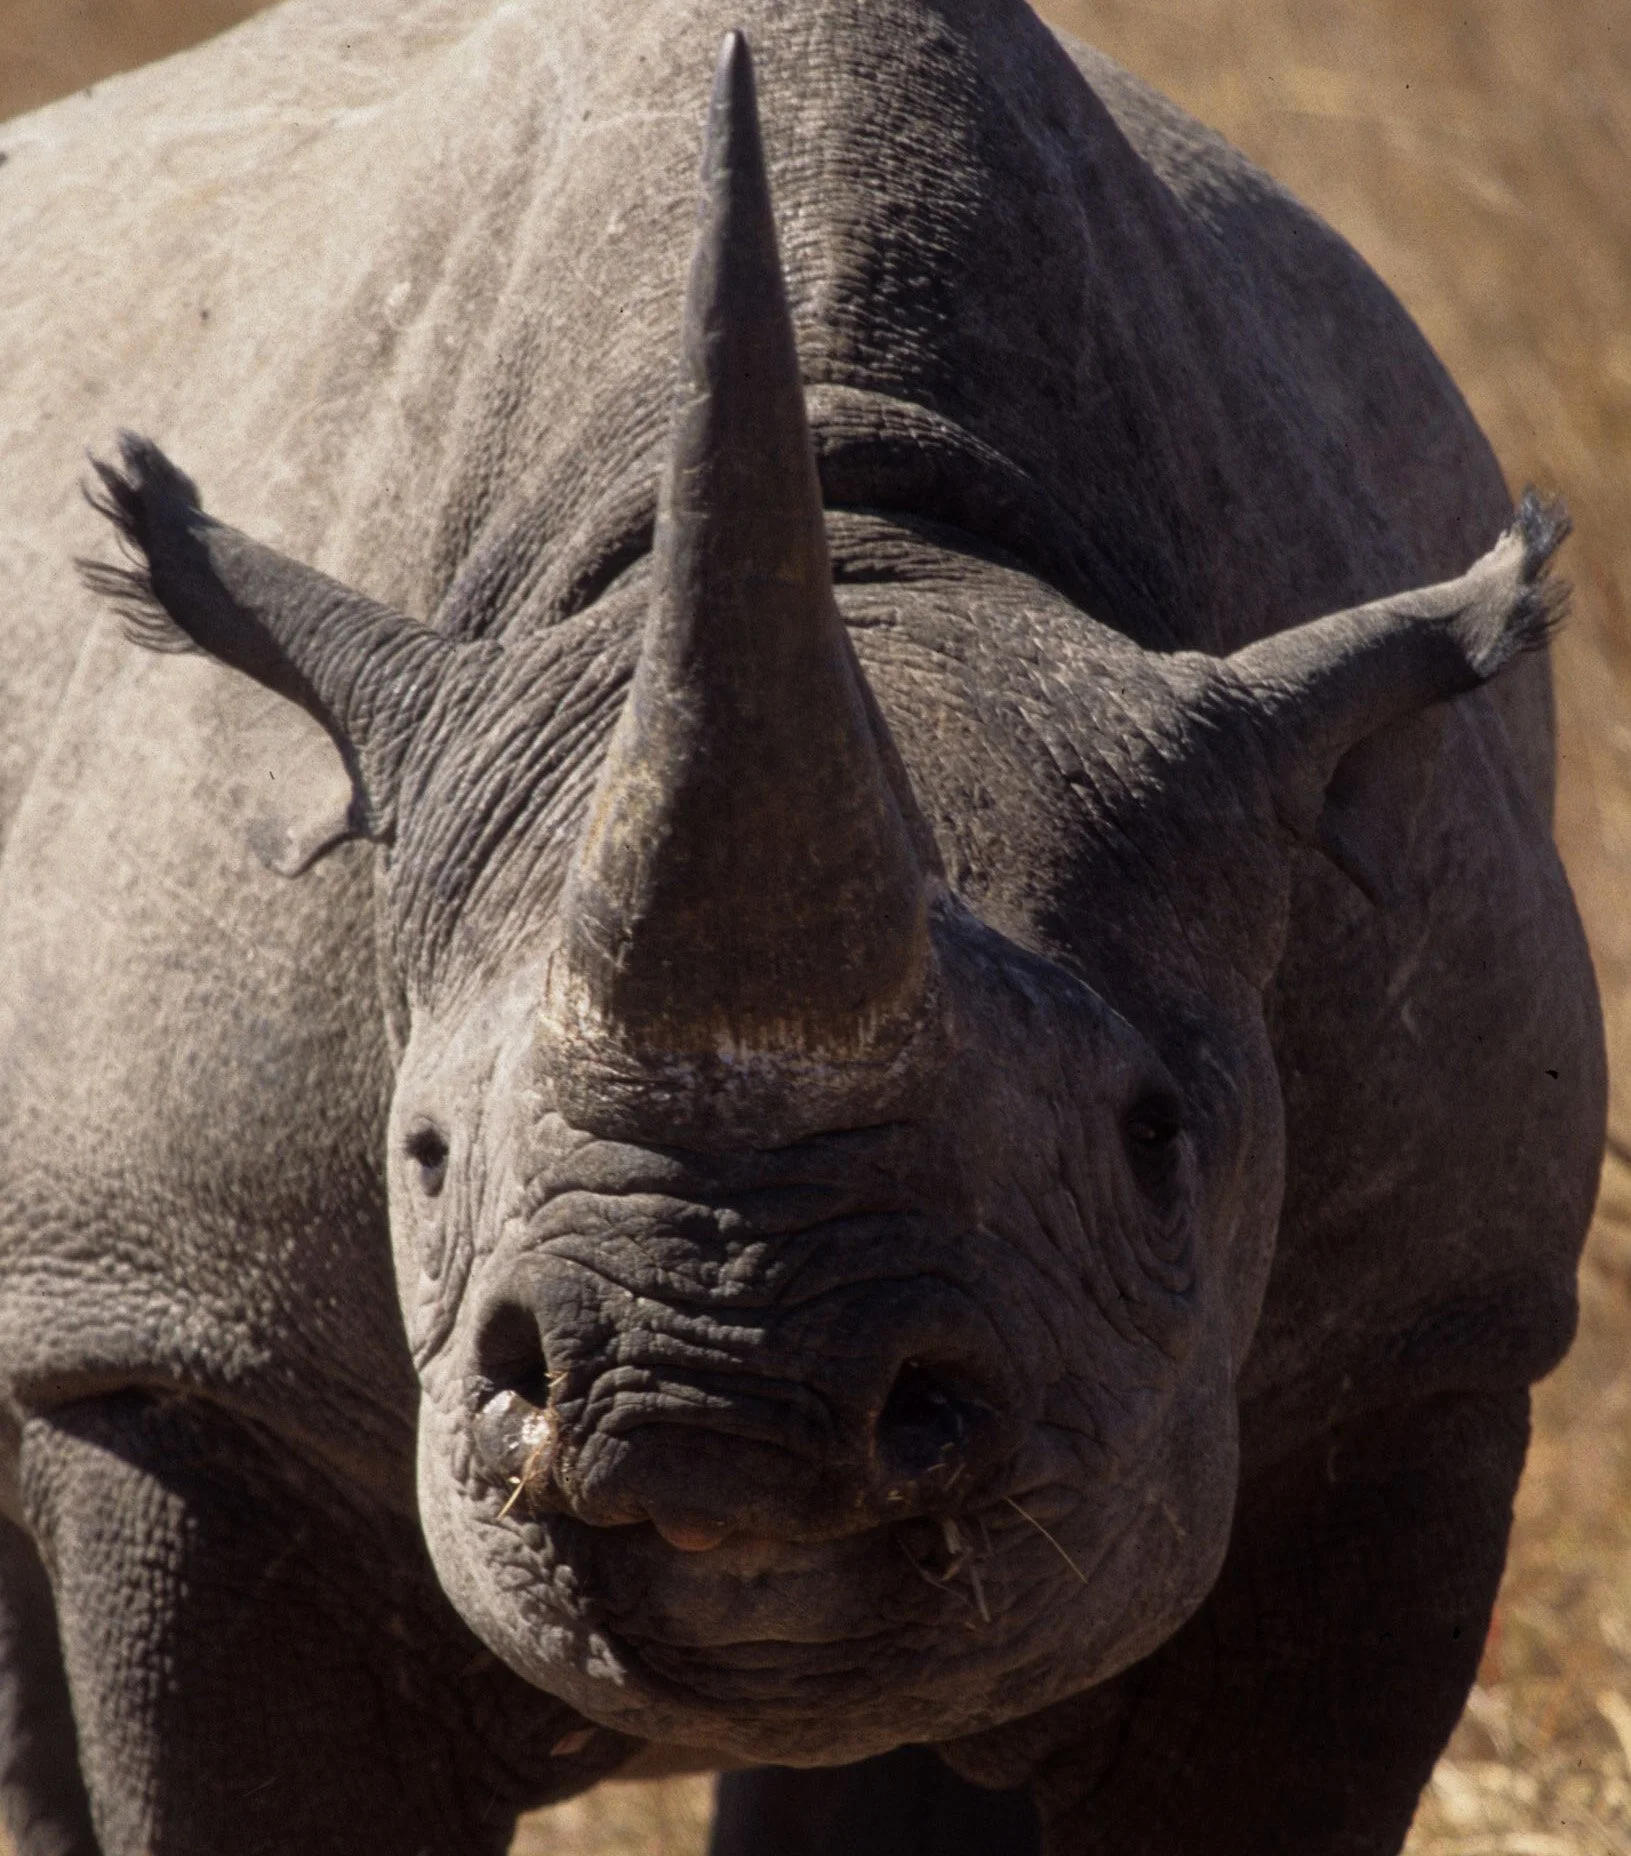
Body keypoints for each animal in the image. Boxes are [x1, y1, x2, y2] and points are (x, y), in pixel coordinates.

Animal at [0, 0, 1604, 1851]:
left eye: (1156, 1142)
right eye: (419, 1157)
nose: (707, 1418)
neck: (882, 534)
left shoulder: (1422, 1347)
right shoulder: (175, 1342)